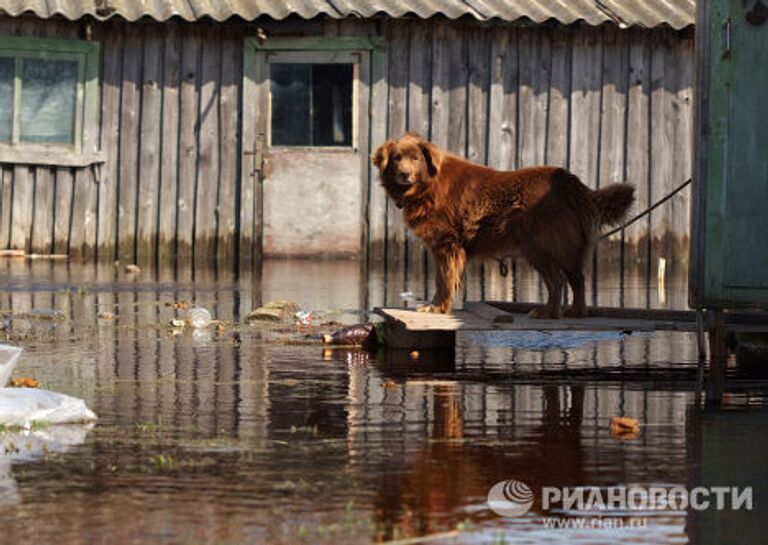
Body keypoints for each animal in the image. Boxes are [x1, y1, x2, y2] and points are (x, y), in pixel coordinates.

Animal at [374, 133, 636, 316]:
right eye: (397, 158)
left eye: (415, 158)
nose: (405, 174)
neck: (428, 185)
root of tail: (569, 181)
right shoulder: (444, 247)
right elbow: (442, 279)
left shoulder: (447, 245)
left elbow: (444, 280)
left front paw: (437, 308)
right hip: (538, 249)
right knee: (560, 281)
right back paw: (555, 313)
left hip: (548, 245)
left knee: (572, 279)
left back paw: (566, 312)